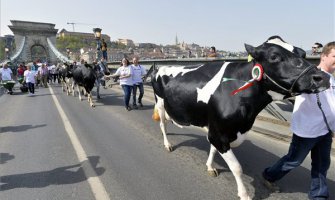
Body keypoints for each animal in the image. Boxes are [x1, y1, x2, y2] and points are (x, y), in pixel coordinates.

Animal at [152, 36, 330, 200]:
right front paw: (244, 194)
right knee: (163, 125)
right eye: (274, 56)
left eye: (302, 54)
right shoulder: (219, 134)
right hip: (160, 104)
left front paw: (210, 166)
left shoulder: (217, 130)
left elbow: (213, 149)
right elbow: (237, 167)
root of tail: (161, 67)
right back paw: (167, 144)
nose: (323, 77)